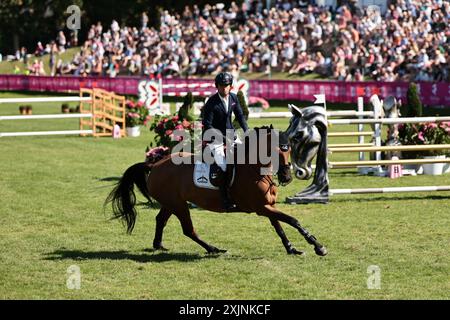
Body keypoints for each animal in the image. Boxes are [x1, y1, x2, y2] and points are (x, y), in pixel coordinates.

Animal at [107, 126, 328, 256]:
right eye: (275, 150)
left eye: (288, 148)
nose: (287, 177)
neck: (254, 168)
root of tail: (156, 164)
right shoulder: (260, 207)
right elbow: (292, 220)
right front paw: (318, 246)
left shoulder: (268, 205)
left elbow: (279, 226)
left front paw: (292, 248)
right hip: (179, 205)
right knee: (188, 230)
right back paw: (214, 249)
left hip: (171, 203)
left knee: (161, 220)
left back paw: (158, 245)